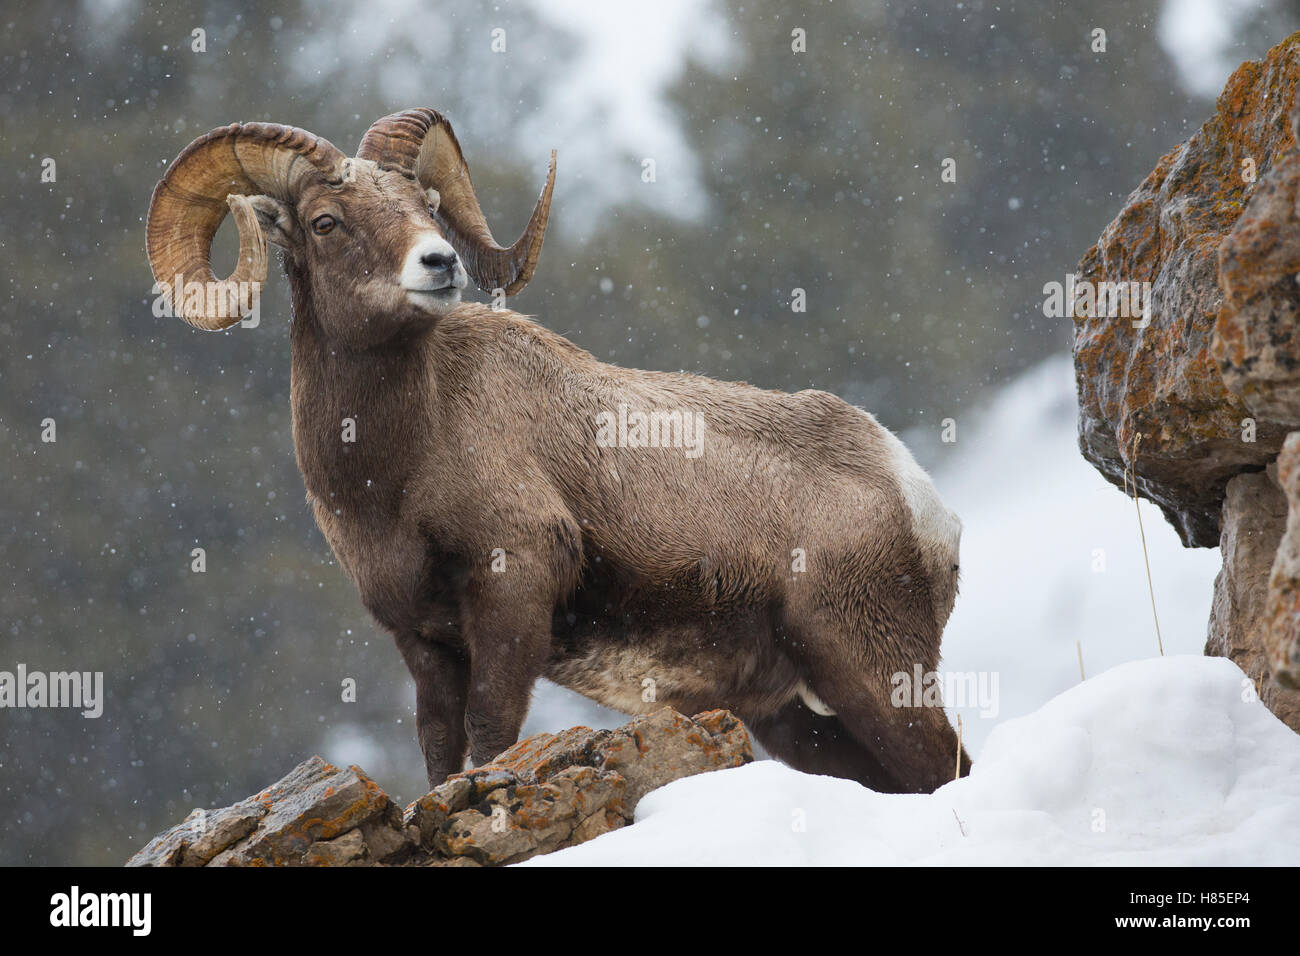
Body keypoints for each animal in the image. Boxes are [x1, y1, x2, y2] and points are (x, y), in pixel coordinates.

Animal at [147, 108, 969, 794]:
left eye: (428, 207)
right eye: (325, 221)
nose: (439, 263)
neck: (393, 475)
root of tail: (918, 496)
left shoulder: (514, 590)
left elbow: (489, 733)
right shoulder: (423, 640)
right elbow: (439, 748)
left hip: (872, 671)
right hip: (797, 718)